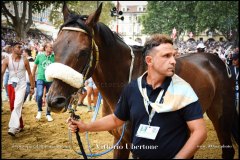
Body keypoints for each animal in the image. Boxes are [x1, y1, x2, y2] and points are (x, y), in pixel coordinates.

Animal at [46, 2, 238, 159]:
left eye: (84, 51)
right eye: (54, 48)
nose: (54, 100)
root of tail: (219, 61)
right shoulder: (120, 141)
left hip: (221, 117)